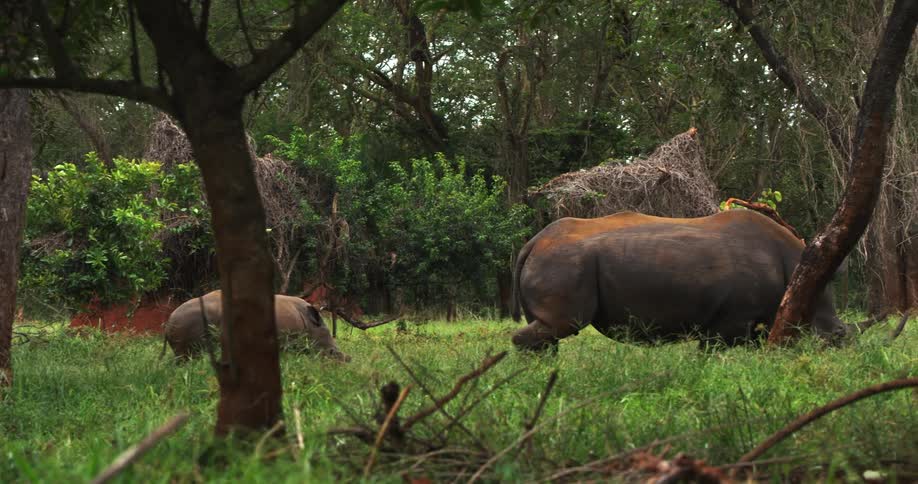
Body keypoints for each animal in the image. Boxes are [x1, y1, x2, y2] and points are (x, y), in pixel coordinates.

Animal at [511, 210, 848, 351]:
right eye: (836, 338)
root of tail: (533, 242)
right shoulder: (735, 319)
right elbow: (712, 353)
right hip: (564, 262)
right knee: (563, 324)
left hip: (557, 260)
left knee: (548, 330)